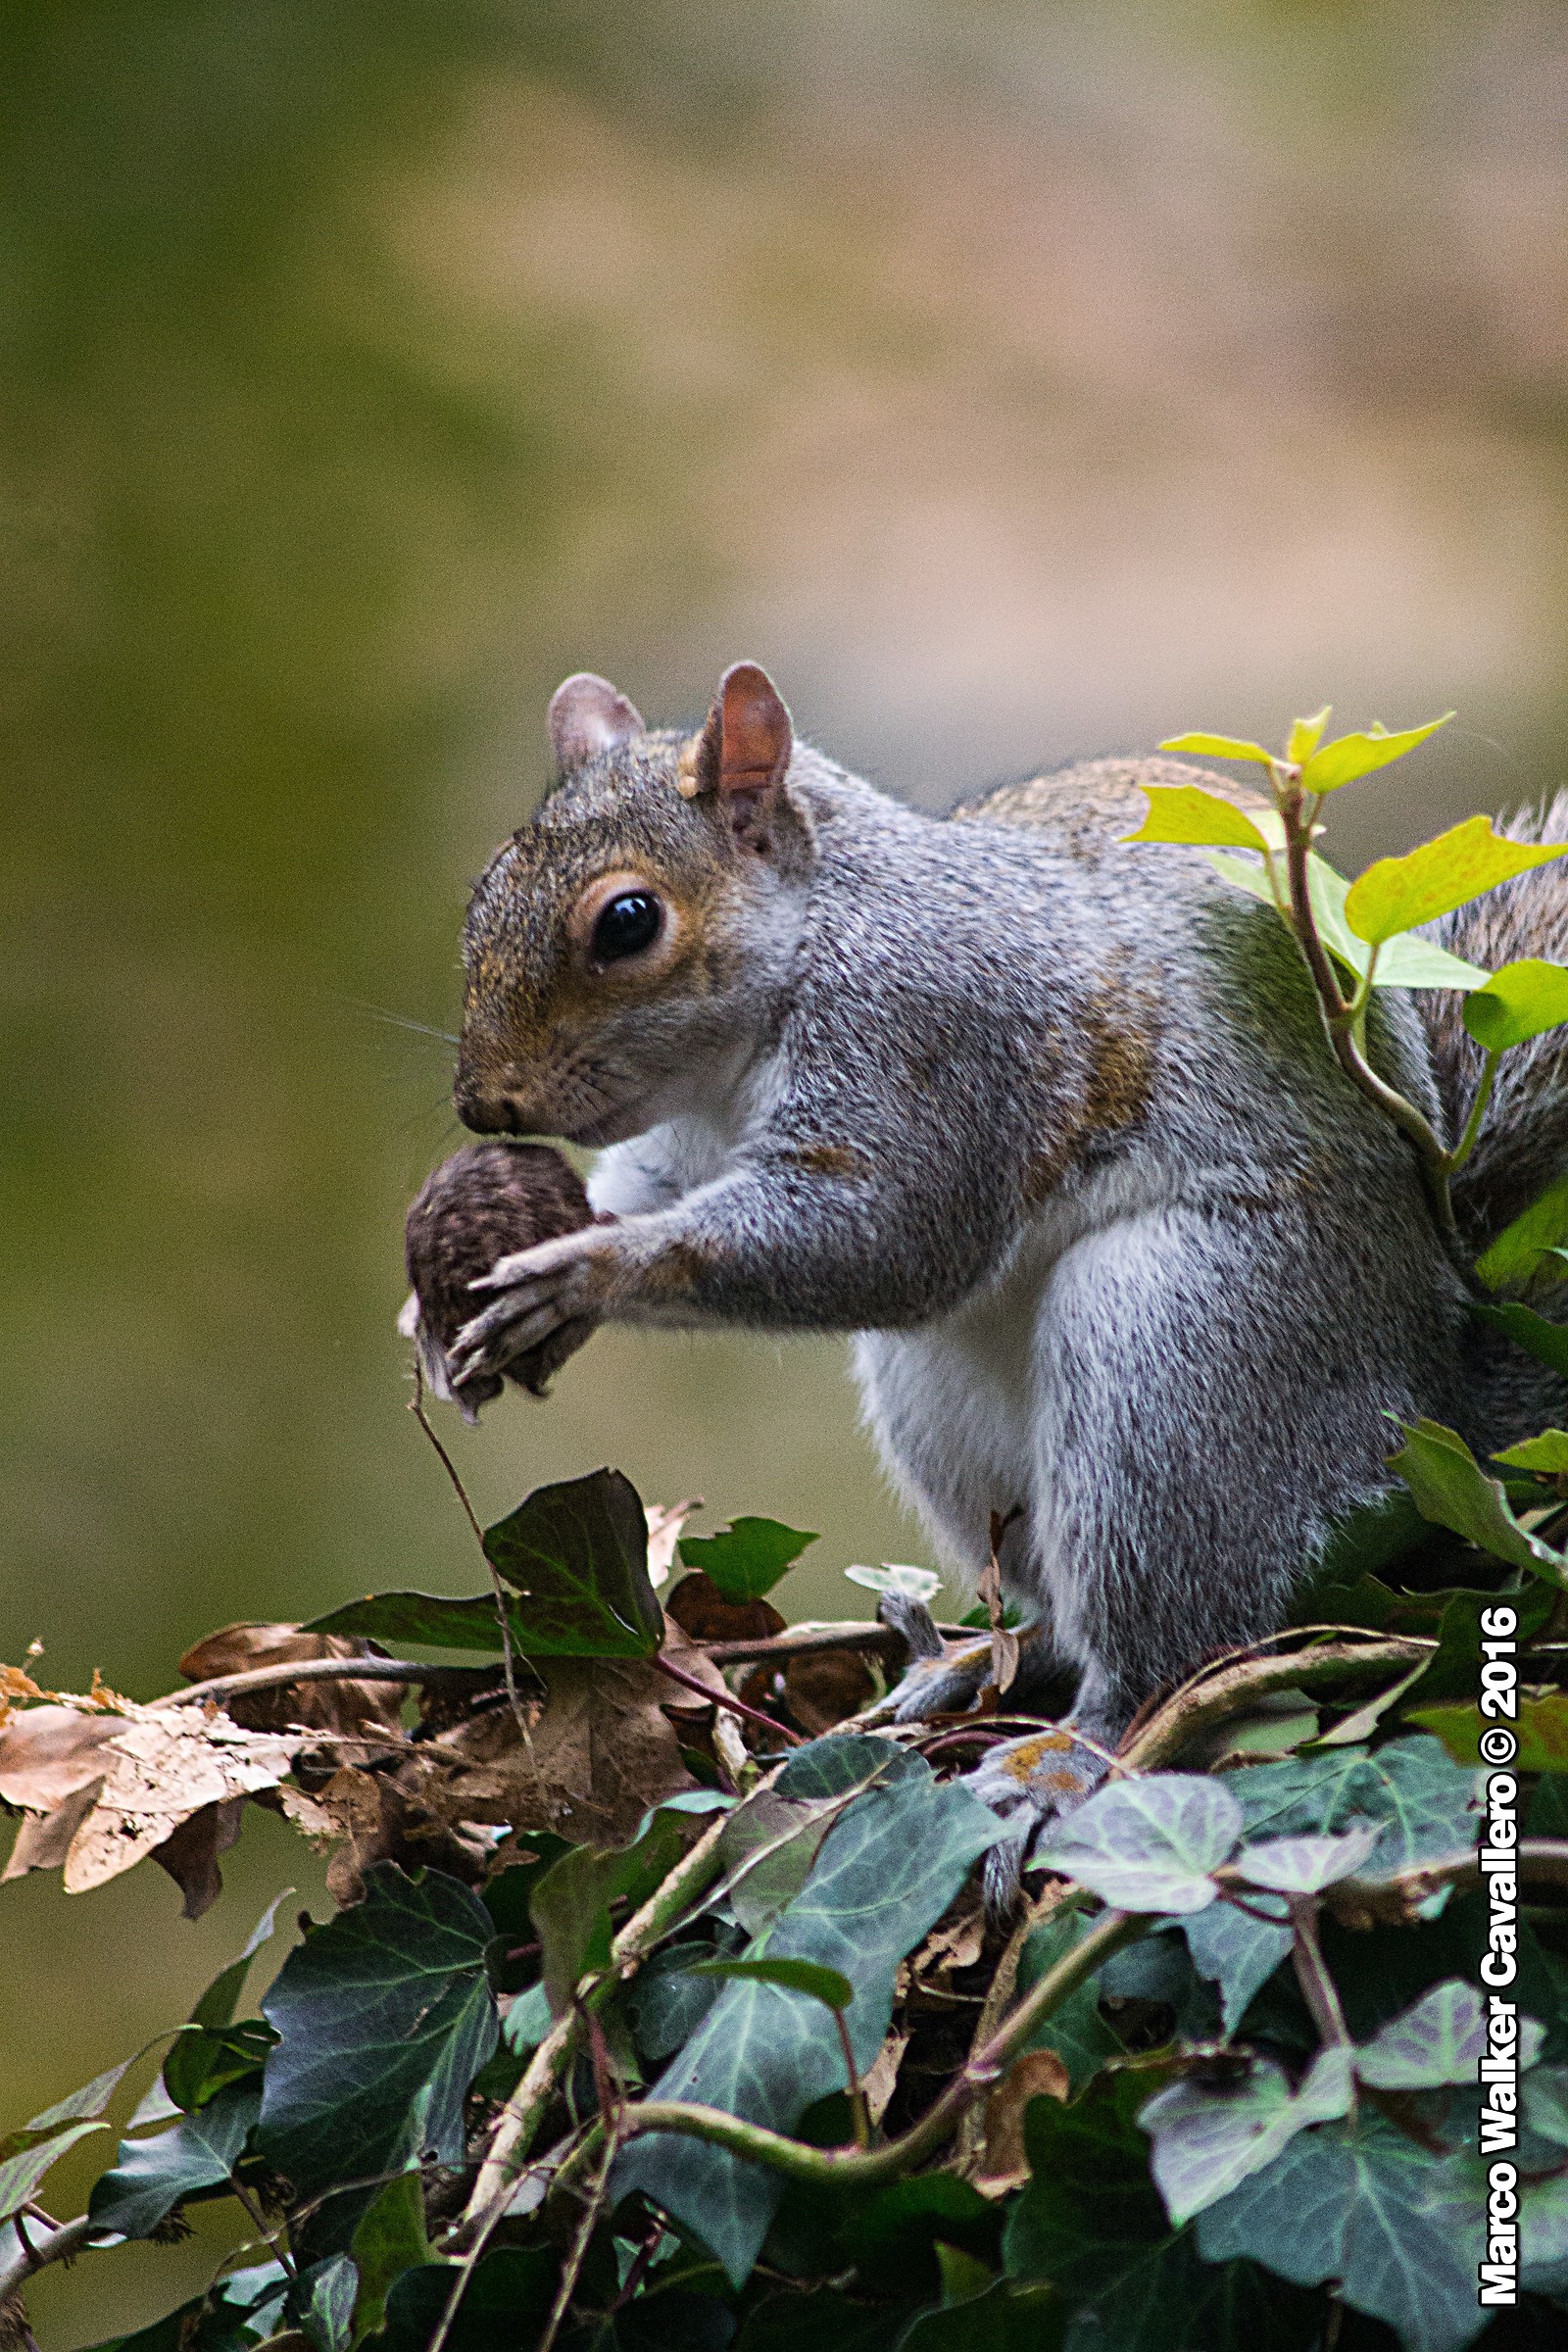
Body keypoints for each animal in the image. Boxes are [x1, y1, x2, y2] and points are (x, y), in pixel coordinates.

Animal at [426, 659, 1568, 1878]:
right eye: (482, 892)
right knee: (1051, 1608)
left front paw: (585, 1271)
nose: (484, 1106)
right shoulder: (688, 1143)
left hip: (1181, 1350)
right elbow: (648, 1183)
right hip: (943, 1413)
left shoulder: (933, 1040)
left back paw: (1064, 1760)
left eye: (627, 922)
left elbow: (888, 1236)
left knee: (1172, 1643)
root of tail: (1438, 1415)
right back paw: (971, 1663)